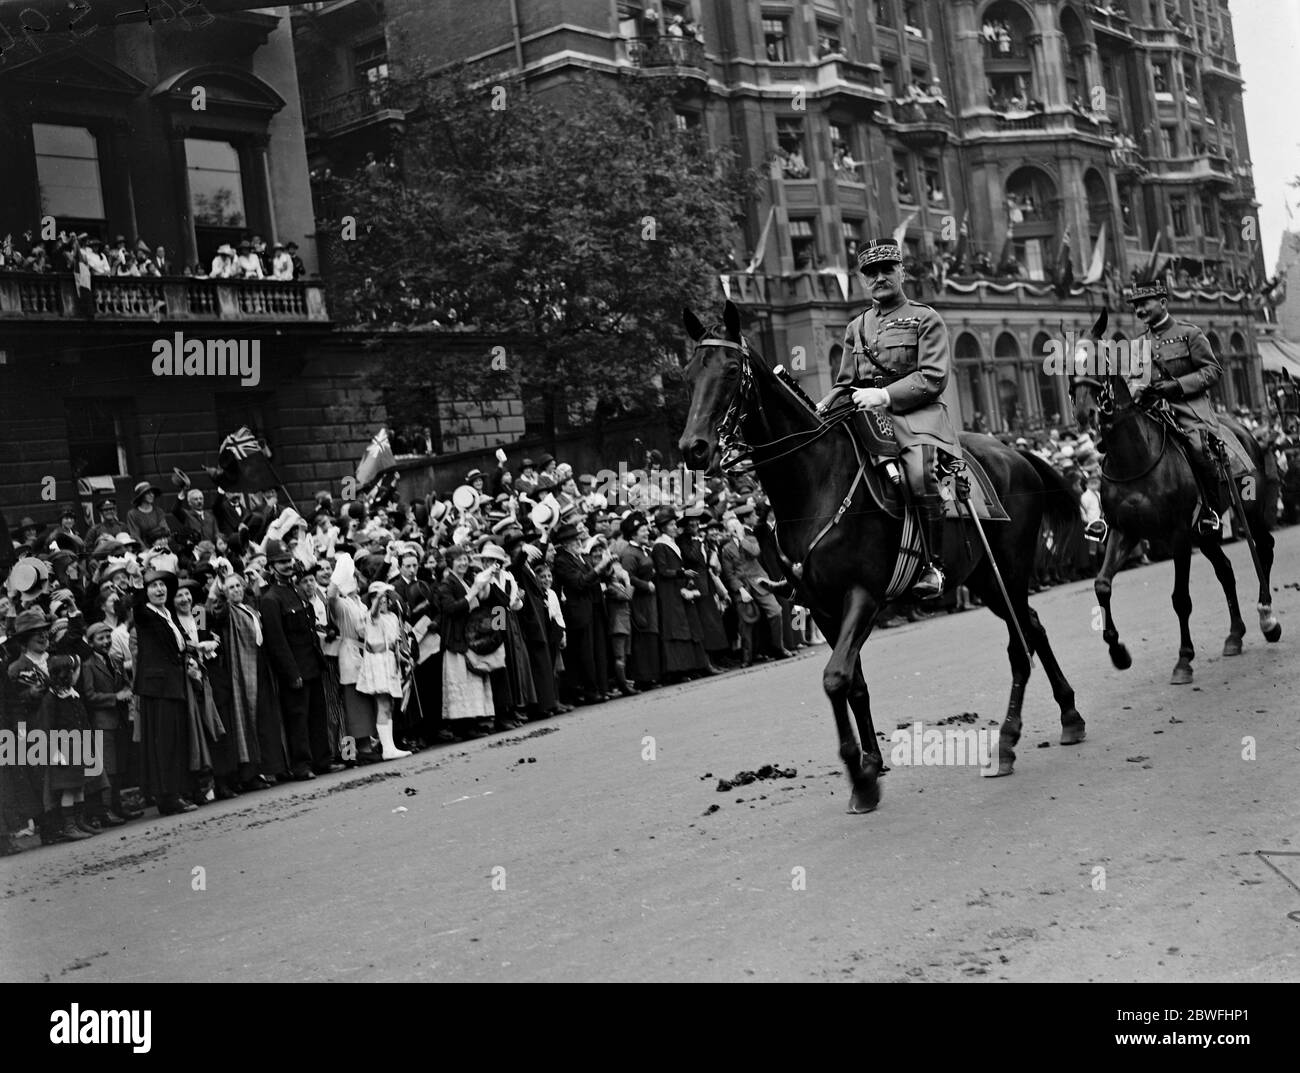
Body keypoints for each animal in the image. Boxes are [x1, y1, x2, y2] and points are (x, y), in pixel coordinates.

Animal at [681, 301, 1086, 811]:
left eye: (732, 370)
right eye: (690, 373)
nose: (693, 448)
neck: (815, 482)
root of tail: (1012, 452)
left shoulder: (863, 595)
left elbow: (835, 677)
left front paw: (861, 775)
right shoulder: (823, 607)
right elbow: (853, 681)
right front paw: (870, 767)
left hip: (1008, 571)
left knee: (1020, 643)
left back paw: (1015, 738)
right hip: (984, 579)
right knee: (1030, 627)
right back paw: (1062, 716)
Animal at [1071, 369, 1274, 686]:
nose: (1084, 413)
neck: (1133, 457)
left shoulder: (1178, 534)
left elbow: (1180, 599)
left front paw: (1184, 660)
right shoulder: (1123, 532)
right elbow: (1102, 584)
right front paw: (1118, 652)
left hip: (1249, 509)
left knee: (1263, 548)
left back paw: (1267, 618)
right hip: (1203, 533)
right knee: (1226, 570)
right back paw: (1235, 635)